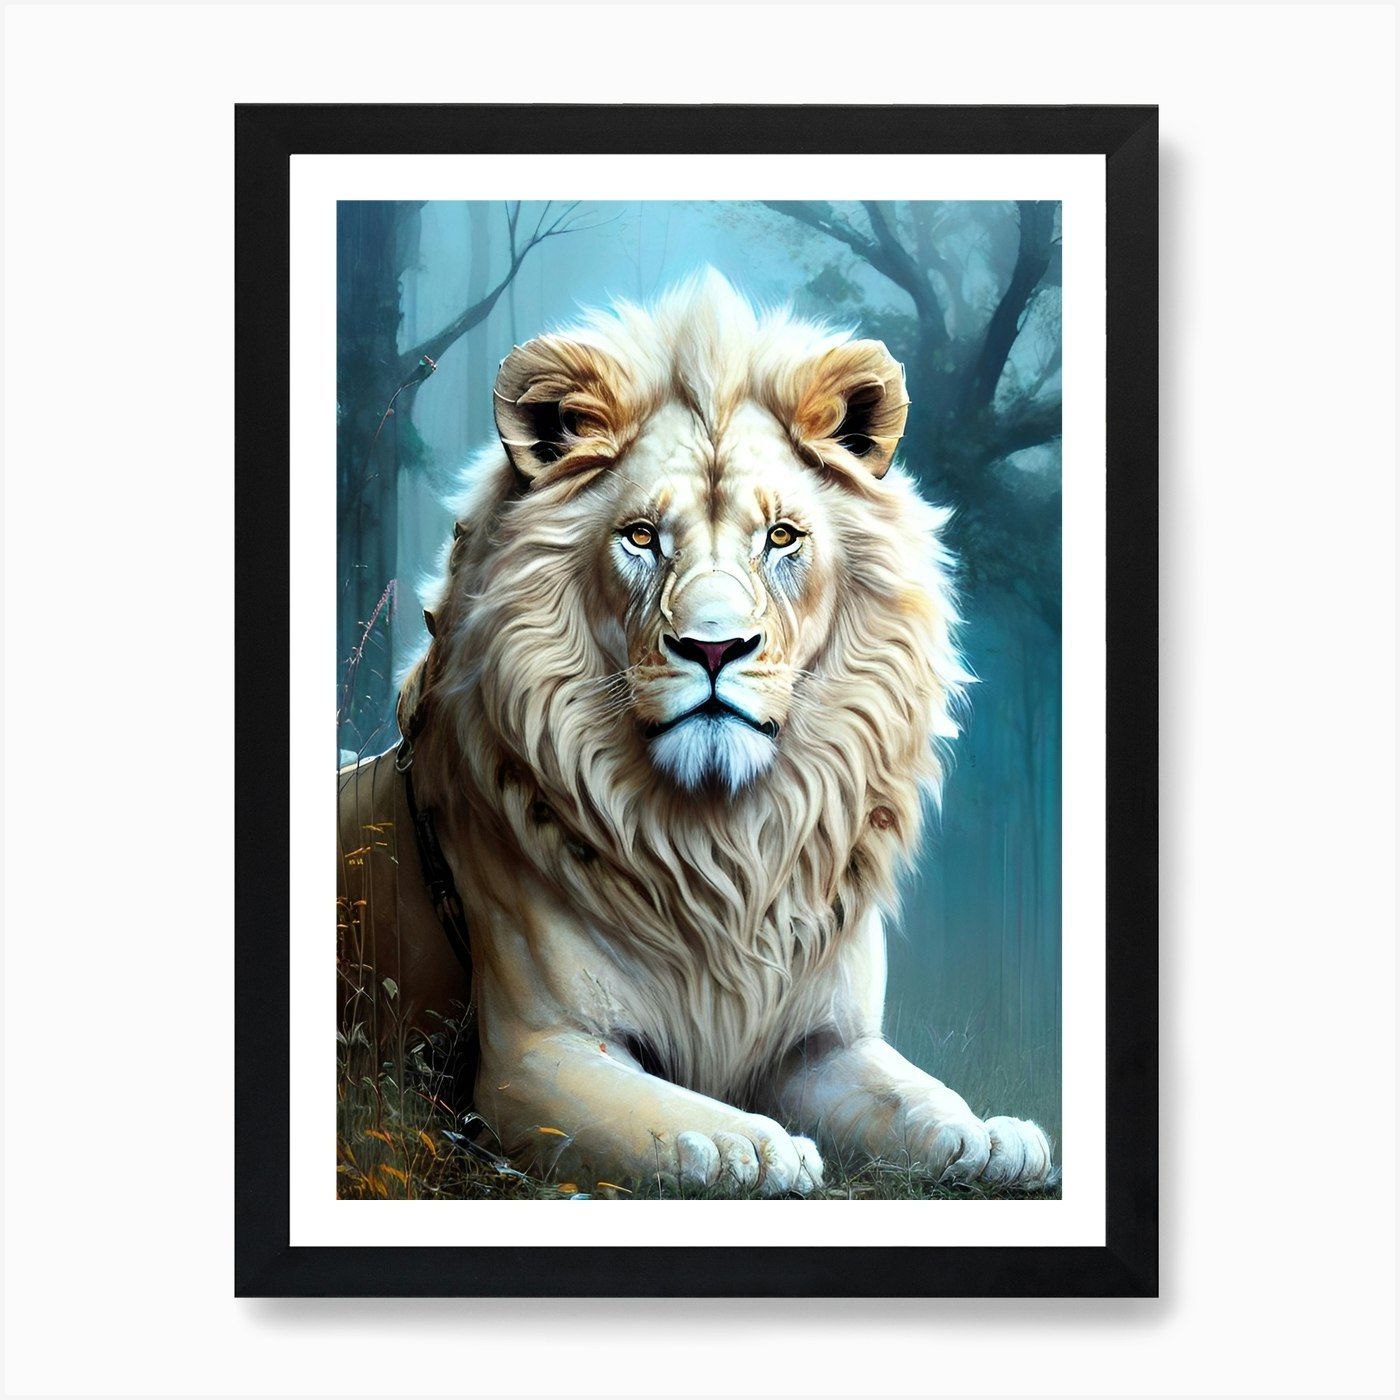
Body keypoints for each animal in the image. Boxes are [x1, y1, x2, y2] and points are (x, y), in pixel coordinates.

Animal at [338, 270, 1053, 1196]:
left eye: (781, 537)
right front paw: (747, 1144)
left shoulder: (829, 1043)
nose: (714, 646)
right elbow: (660, 1117)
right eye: (642, 537)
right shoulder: (537, 1055)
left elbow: (917, 1095)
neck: (724, 844)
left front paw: (994, 1135)